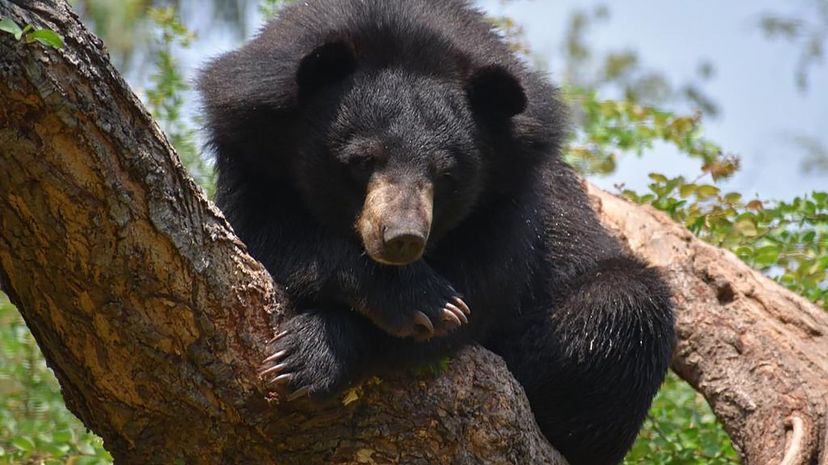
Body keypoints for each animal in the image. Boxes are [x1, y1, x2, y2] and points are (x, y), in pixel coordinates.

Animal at [197, 1, 675, 464]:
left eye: (445, 175)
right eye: (362, 161)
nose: (401, 237)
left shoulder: (511, 194)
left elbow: (476, 295)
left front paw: (314, 354)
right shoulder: (249, 138)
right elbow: (261, 232)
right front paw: (413, 299)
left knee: (624, 304)